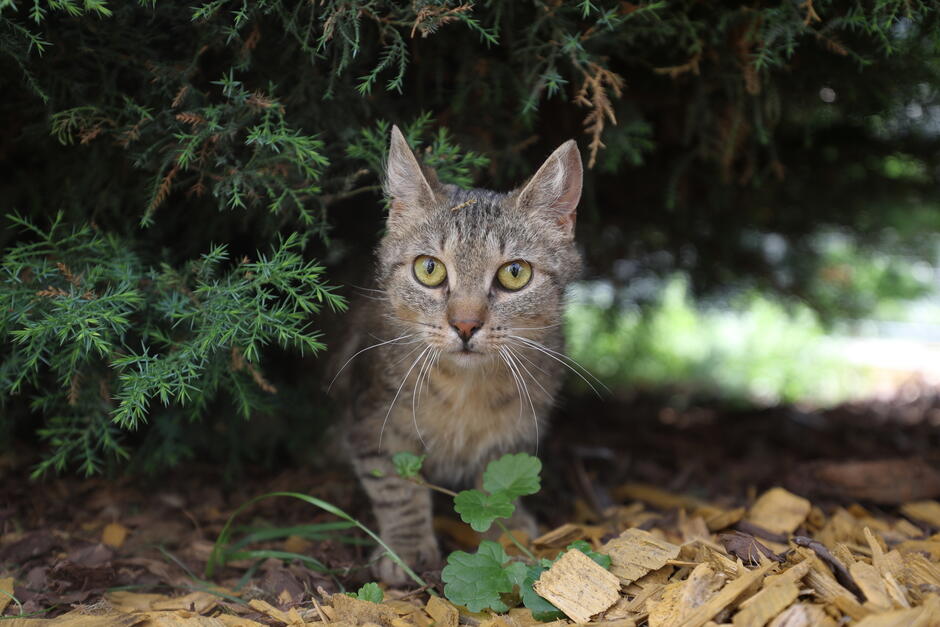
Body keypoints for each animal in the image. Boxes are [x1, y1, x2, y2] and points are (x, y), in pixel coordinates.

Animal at [330, 126, 580, 584]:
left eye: (514, 273)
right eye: (429, 269)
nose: (465, 324)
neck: (467, 389)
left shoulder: (515, 430)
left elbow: (500, 483)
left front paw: (511, 533)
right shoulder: (372, 422)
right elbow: (395, 485)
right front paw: (406, 547)